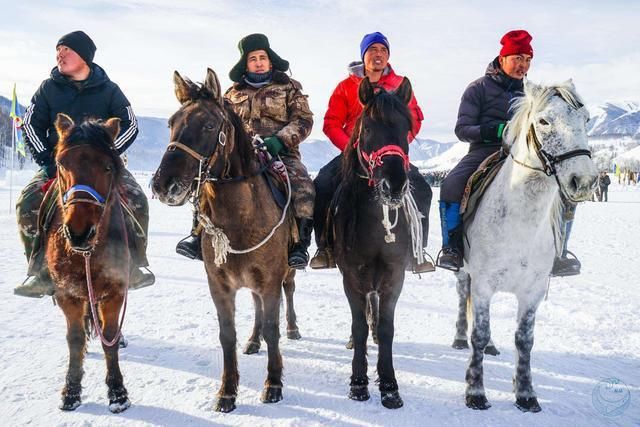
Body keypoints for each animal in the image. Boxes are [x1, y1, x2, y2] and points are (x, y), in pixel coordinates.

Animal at [45, 113, 131, 414]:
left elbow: (110, 337)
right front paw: (71, 391)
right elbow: (74, 340)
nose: (79, 232)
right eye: (61, 164)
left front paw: (117, 393)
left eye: (107, 166)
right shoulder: (67, 294)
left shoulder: (115, 292)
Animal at [151, 68, 298, 412]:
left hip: (287, 272)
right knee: (256, 308)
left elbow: (273, 329)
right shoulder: (219, 284)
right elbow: (227, 334)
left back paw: (293, 328)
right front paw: (227, 391)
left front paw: (273, 383)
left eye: (207, 124)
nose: (164, 184)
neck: (240, 221)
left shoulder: (270, 280)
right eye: (171, 122)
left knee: (289, 294)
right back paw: (253, 341)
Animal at [332, 77, 432, 412]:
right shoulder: (351, 277)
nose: (394, 185)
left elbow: (387, 328)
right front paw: (358, 383)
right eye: (367, 129)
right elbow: (358, 326)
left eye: (406, 128)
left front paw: (389, 386)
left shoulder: (394, 275)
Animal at [458, 79, 596, 412]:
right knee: (462, 300)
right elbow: (478, 333)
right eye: (544, 121)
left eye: (586, 119)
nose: (584, 181)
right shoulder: (483, 283)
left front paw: (525, 392)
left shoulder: (532, 291)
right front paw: (475, 391)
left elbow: (524, 340)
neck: (521, 224)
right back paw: (459, 338)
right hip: (464, 273)